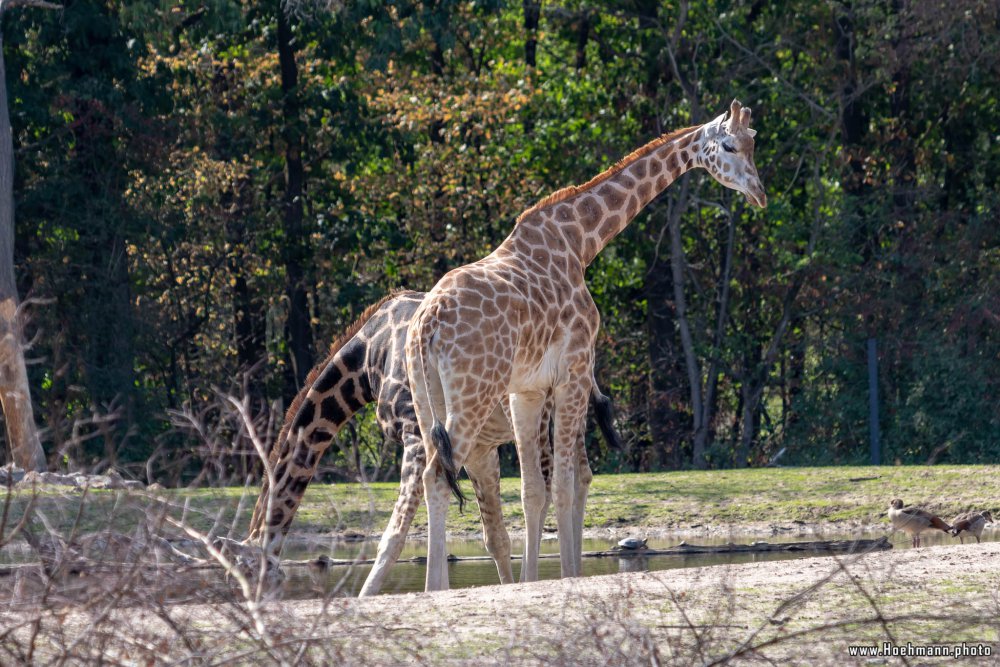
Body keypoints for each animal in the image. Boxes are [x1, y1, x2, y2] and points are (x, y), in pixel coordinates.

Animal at [241, 288, 616, 596]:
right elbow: (492, 537)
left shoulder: (415, 434)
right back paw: (574, 570)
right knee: (580, 476)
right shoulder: (475, 449)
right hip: (570, 408)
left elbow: (394, 535)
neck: (368, 356)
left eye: (251, 575)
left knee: (550, 482)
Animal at [406, 98, 764, 588]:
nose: (759, 193)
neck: (580, 241)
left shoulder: (526, 390)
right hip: (473, 396)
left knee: (431, 477)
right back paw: (434, 589)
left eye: (753, 143)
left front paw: (535, 579)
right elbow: (565, 483)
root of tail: (427, 323)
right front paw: (565, 576)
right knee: (439, 475)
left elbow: (533, 490)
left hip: (429, 402)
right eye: (729, 145)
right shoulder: (573, 371)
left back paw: (433, 587)